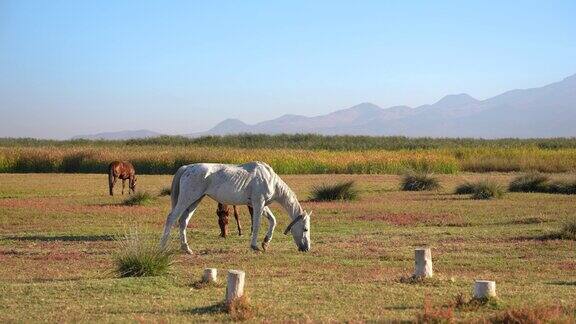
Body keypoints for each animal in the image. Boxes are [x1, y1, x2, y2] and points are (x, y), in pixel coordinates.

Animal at [159, 161, 310, 253]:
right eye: (305, 229)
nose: (307, 248)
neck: (270, 179)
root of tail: (187, 168)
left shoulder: (258, 205)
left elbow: (273, 220)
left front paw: (265, 242)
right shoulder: (258, 203)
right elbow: (257, 225)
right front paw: (254, 246)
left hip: (194, 201)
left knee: (183, 221)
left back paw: (186, 248)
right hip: (187, 199)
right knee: (172, 218)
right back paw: (162, 247)